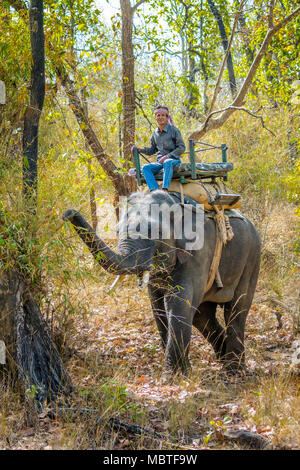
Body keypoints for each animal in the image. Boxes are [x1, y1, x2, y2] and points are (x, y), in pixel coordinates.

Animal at [63, 190, 260, 378]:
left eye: (155, 233)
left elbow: (177, 302)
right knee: (202, 316)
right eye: (118, 232)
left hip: (251, 258)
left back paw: (233, 371)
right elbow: (157, 306)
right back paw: (223, 359)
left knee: (236, 309)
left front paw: (172, 379)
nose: (67, 213)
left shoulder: (199, 251)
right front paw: (182, 374)